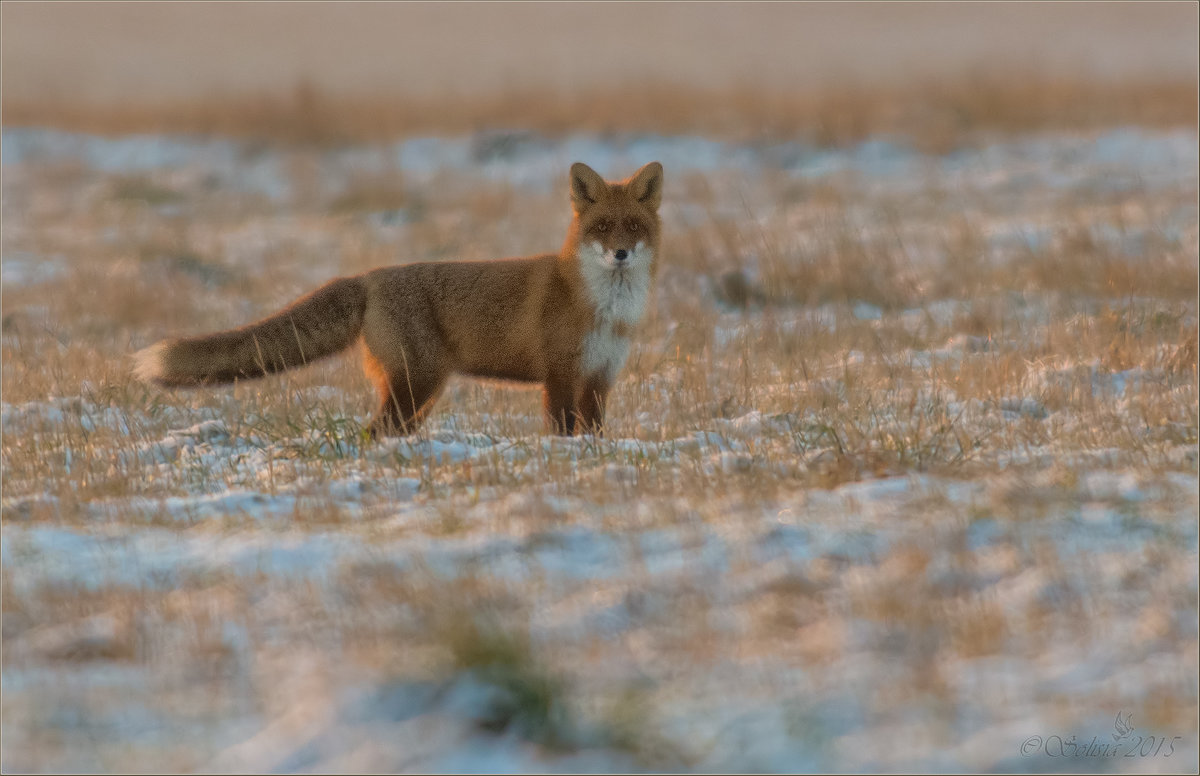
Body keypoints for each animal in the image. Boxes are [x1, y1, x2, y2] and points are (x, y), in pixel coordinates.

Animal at [138, 158, 667, 441]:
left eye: (632, 226)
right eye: (602, 226)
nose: (620, 253)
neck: (606, 311)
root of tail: (368, 277)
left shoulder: (599, 377)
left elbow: (594, 432)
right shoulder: (558, 373)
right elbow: (562, 430)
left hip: (419, 393)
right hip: (417, 383)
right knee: (372, 432)